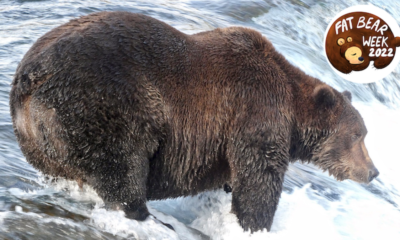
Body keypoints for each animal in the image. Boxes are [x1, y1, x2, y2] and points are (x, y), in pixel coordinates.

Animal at [8, 11, 378, 232]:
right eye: (358, 135)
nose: (373, 171)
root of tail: (30, 76)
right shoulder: (255, 109)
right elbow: (259, 176)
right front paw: (253, 225)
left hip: (39, 136)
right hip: (107, 102)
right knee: (121, 166)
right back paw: (143, 216)